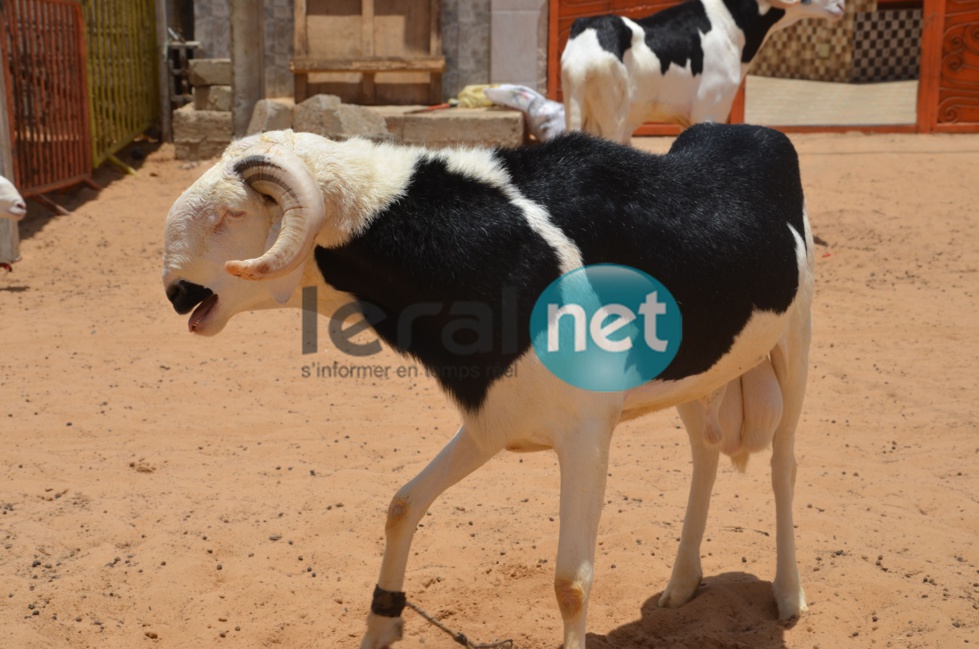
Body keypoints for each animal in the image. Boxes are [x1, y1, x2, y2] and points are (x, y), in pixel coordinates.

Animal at [163, 126, 820, 648]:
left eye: (232, 216)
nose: (174, 293)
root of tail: (749, 132)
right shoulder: (492, 420)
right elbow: (403, 505)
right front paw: (382, 622)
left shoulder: (585, 433)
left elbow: (571, 583)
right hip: (701, 373)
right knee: (706, 454)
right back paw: (682, 585)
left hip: (795, 344)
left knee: (784, 464)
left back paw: (789, 595)